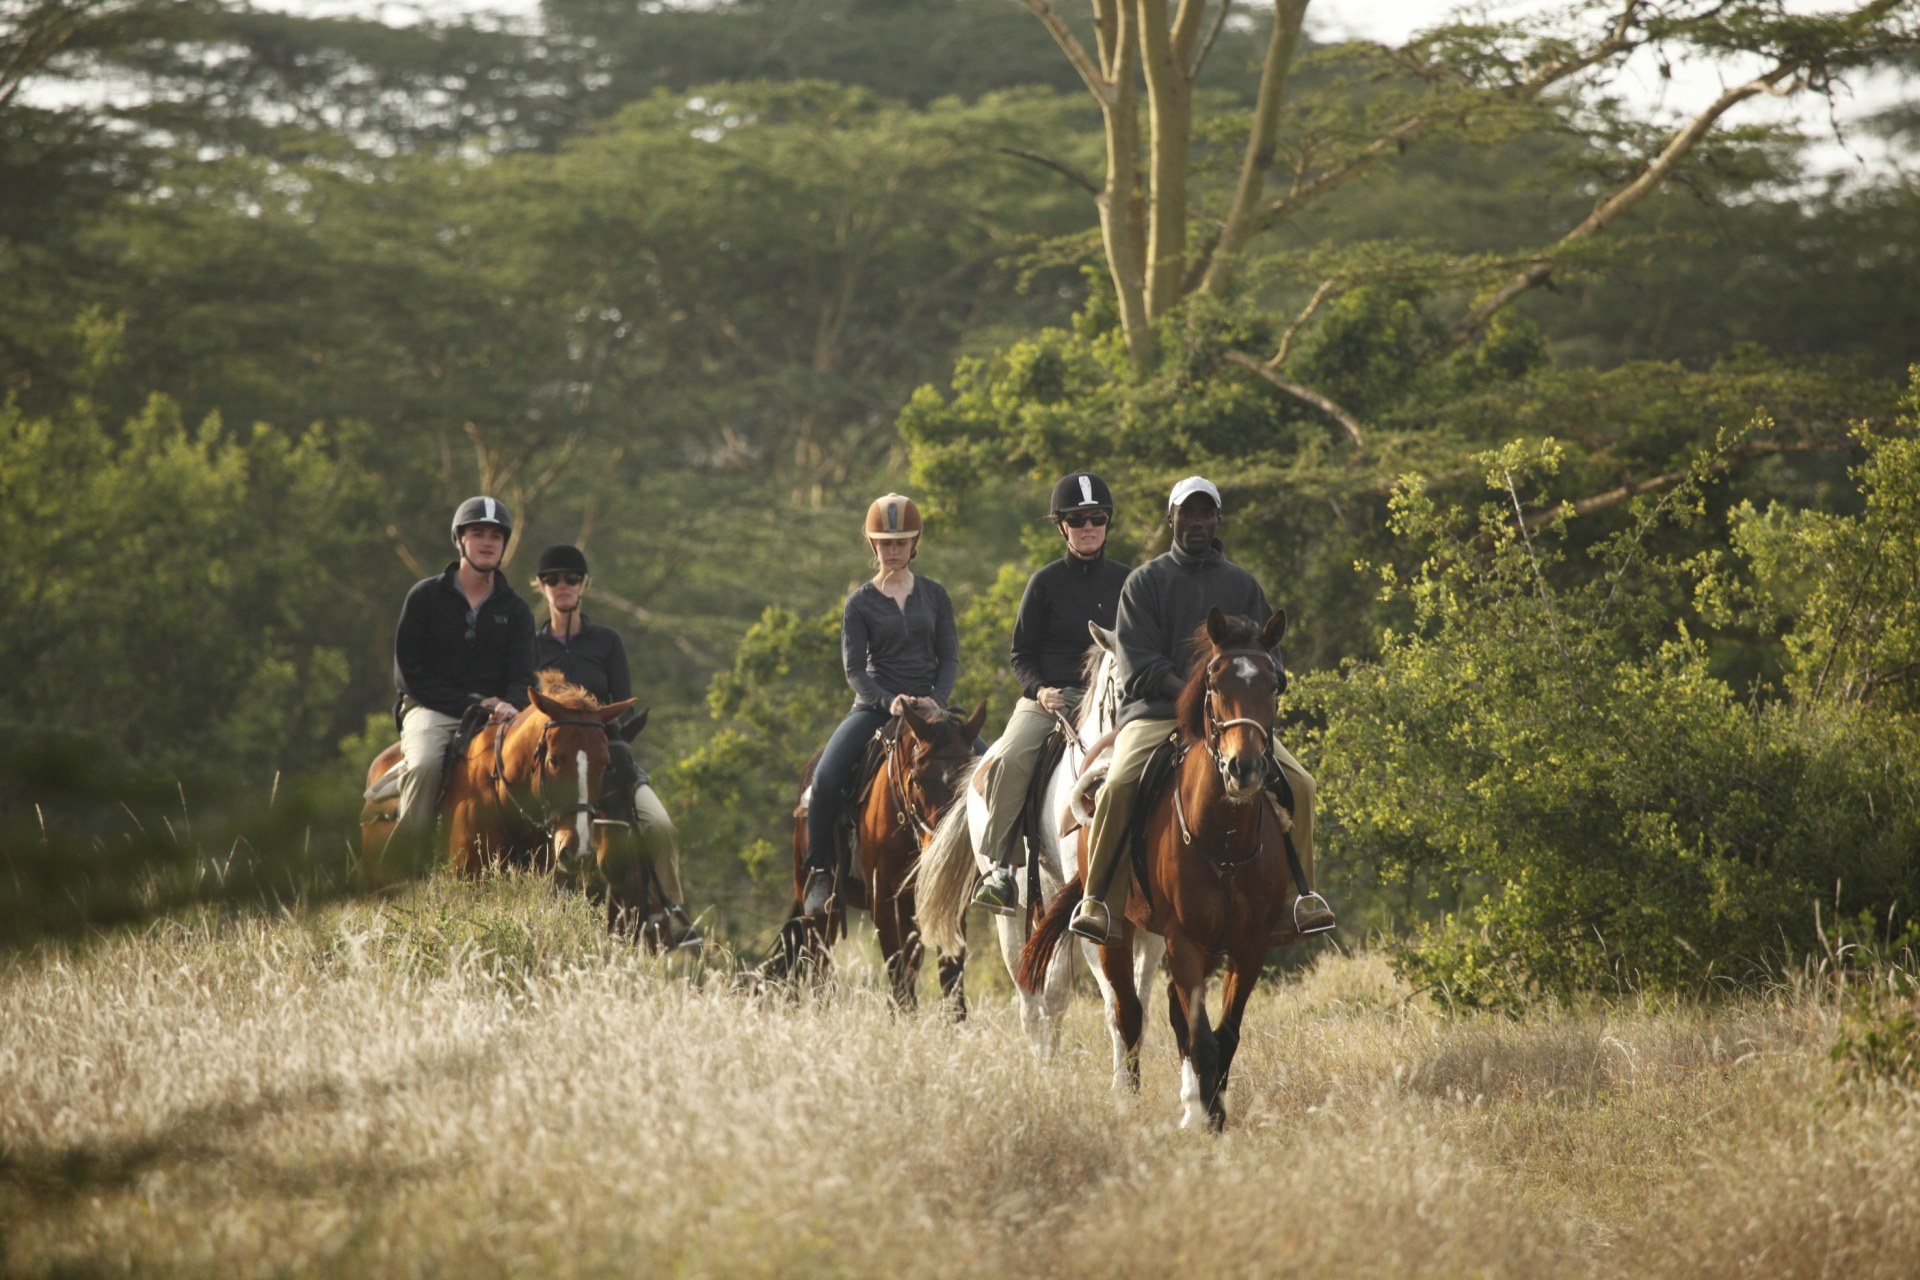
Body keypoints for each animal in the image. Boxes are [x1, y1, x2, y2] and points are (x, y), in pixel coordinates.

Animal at [756, 702, 983, 1013]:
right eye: (917, 780)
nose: (940, 851)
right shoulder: (884, 903)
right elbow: (901, 986)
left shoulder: (949, 903)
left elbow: (951, 984)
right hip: (819, 912)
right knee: (817, 971)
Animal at [917, 621, 1167, 1059]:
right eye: (1121, 689)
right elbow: (1109, 1004)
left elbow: (1141, 1004)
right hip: (1015, 915)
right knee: (1035, 1003)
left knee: (1053, 998)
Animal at [1021, 610, 1305, 1128]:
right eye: (1214, 682)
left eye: (1274, 684)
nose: (1244, 768)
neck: (1223, 838)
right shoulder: (1183, 939)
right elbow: (1198, 1035)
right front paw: (1202, 1120)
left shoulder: (1248, 945)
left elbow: (1223, 1035)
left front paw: (1210, 1110)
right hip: (1110, 931)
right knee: (1127, 1012)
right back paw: (1127, 1098)